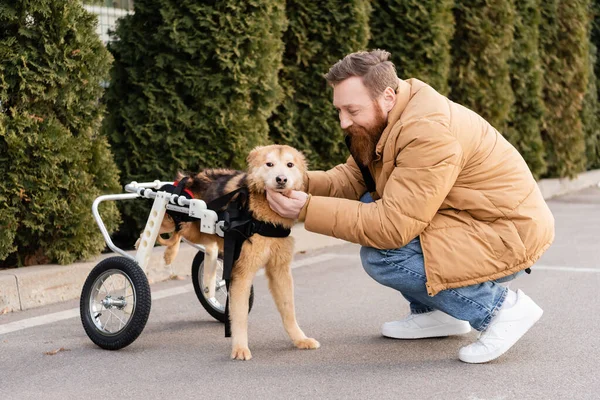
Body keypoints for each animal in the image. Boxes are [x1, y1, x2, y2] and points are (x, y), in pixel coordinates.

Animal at [157, 144, 322, 360]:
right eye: (269, 164)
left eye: (289, 165)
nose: (281, 179)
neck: (262, 214)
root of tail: (190, 177)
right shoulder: (243, 273)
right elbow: (240, 315)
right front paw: (240, 348)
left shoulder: (279, 270)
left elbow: (288, 310)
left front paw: (300, 339)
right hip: (178, 218)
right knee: (160, 232)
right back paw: (162, 252)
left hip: (201, 231)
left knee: (197, 242)